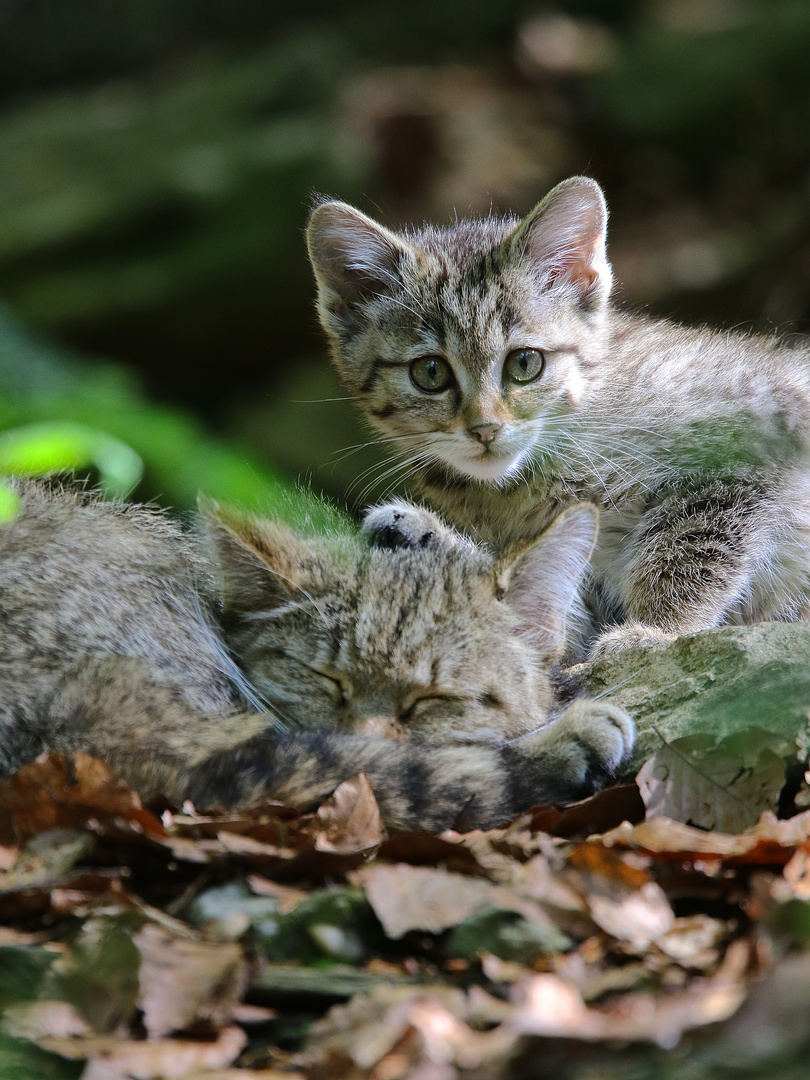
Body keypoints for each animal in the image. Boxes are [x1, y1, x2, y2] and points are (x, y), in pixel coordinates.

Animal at [306, 177, 810, 656]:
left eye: (525, 363)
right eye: (430, 372)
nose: (485, 429)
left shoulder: (758, 428)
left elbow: (690, 548)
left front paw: (657, 629)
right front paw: (424, 540)